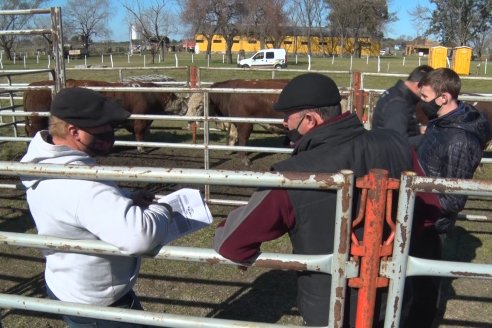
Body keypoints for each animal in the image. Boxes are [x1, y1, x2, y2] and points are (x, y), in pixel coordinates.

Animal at [23, 79, 180, 152]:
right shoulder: (140, 119)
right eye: (180, 100)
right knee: (32, 131)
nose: (184, 108)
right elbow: (139, 134)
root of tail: (31, 87)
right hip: (37, 119)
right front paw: (141, 148)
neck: (150, 94)